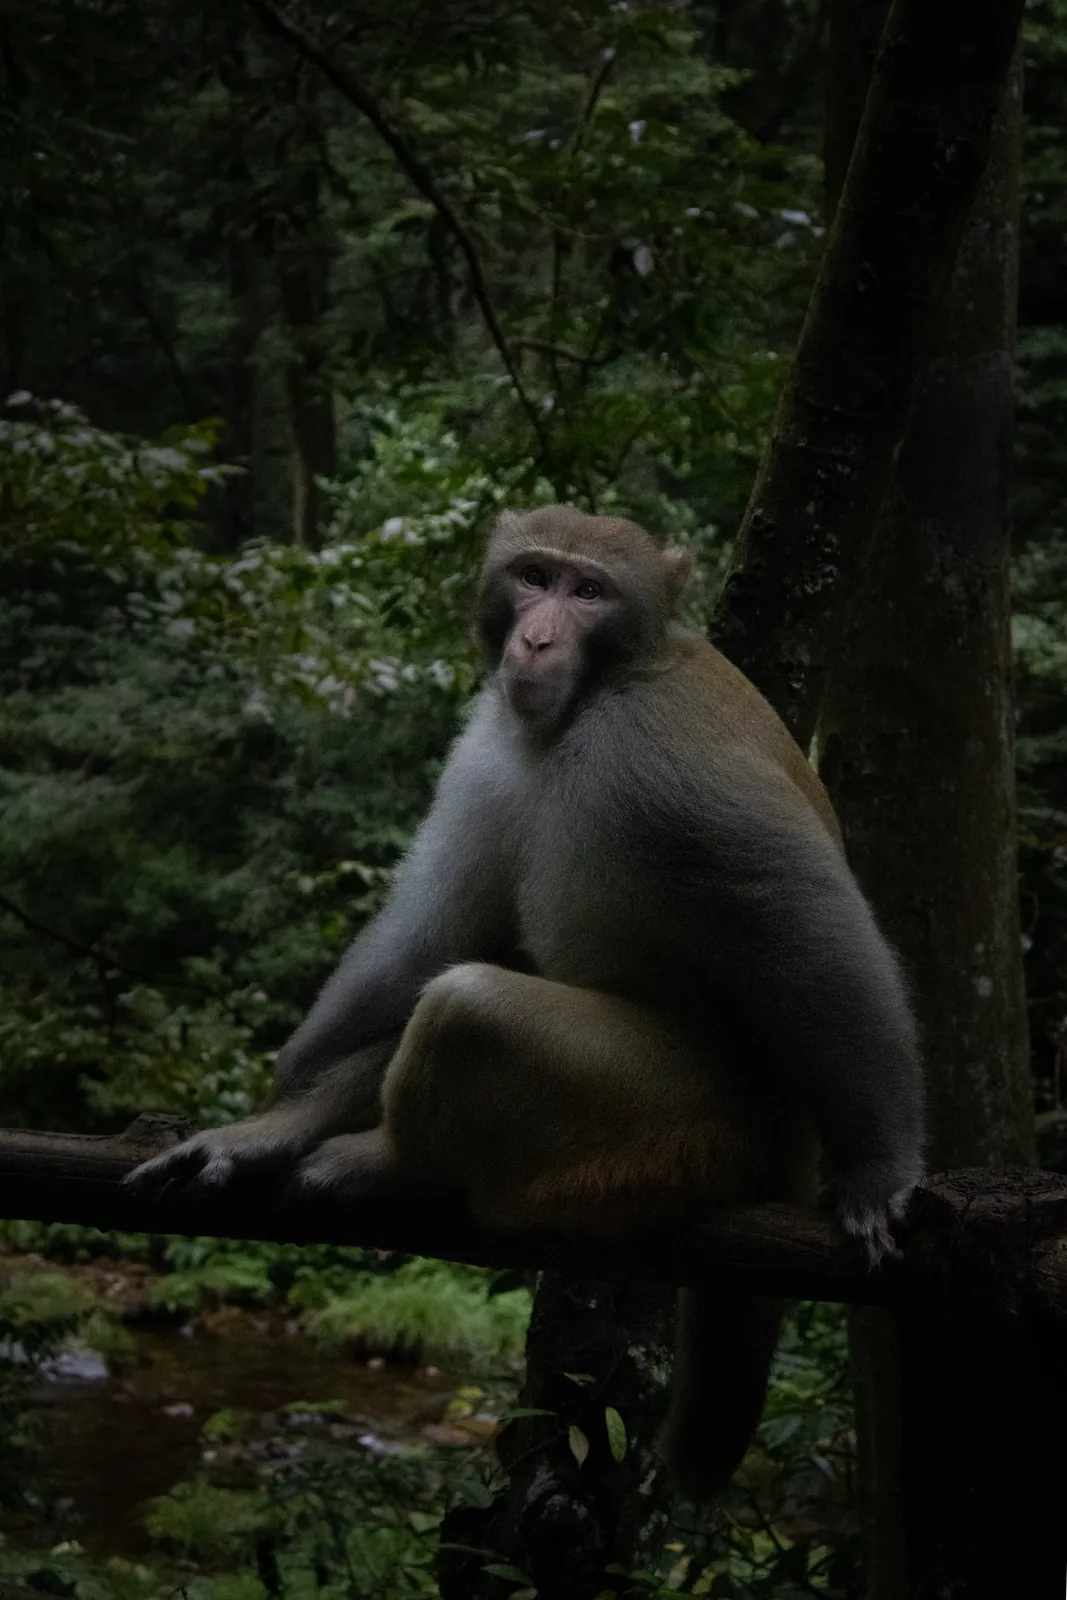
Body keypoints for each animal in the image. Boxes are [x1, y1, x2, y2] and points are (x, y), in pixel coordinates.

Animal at [129, 505, 924, 1500]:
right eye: (534, 576)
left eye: (588, 591)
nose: (537, 637)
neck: (597, 693)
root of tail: (786, 1146)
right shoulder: (490, 743)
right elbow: (446, 923)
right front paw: (279, 1109)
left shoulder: (665, 752)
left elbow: (809, 926)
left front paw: (880, 1169)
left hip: (689, 1127)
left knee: (473, 1008)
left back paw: (395, 1162)